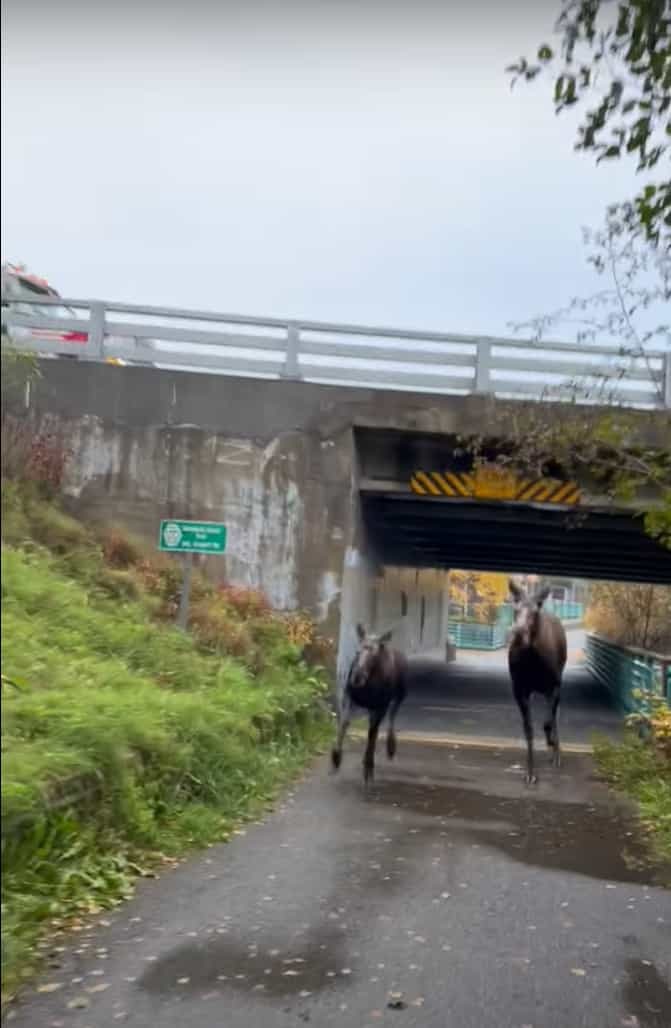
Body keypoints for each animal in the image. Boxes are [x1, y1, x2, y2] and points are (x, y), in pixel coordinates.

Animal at [330, 620, 408, 781]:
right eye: (357, 652)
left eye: (375, 654)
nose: (357, 677)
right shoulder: (349, 697)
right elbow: (344, 722)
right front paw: (336, 757)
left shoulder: (381, 705)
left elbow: (373, 732)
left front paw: (368, 765)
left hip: (399, 696)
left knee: (391, 717)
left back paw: (390, 747)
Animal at [507, 579, 567, 785]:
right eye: (515, 609)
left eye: (534, 612)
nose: (517, 634)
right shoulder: (520, 689)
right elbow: (529, 729)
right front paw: (530, 773)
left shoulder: (555, 686)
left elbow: (548, 722)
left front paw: (553, 744)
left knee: (555, 716)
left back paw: (556, 752)